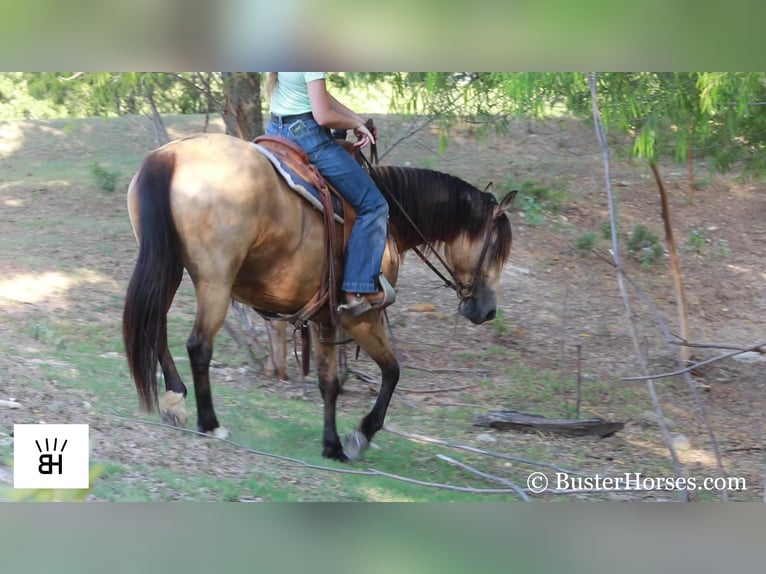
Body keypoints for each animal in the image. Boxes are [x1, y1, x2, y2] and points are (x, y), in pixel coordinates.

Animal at [121, 132, 516, 464]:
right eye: (495, 247)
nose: (488, 310)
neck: (389, 219)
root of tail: (171, 155)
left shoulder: (323, 318)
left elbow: (330, 384)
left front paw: (332, 445)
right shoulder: (361, 317)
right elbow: (392, 371)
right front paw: (360, 435)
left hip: (168, 265)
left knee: (155, 329)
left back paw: (175, 400)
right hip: (215, 281)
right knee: (198, 345)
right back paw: (210, 423)